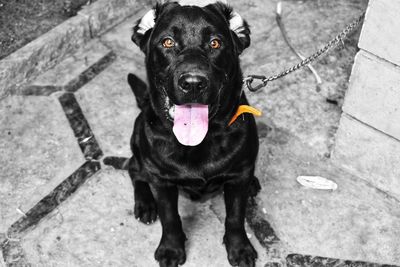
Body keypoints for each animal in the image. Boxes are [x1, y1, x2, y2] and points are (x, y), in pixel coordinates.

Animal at [127, 1, 260, 266]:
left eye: (215, 43)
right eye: (167, 42)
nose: (193, 83)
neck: (198, 142)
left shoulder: (238, 176)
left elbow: (235, 216)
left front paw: (239, 248)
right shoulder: (162, 180)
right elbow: (170, 217)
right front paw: (171, 249)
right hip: (138, 138)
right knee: (133, 168)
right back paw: (145, 203)